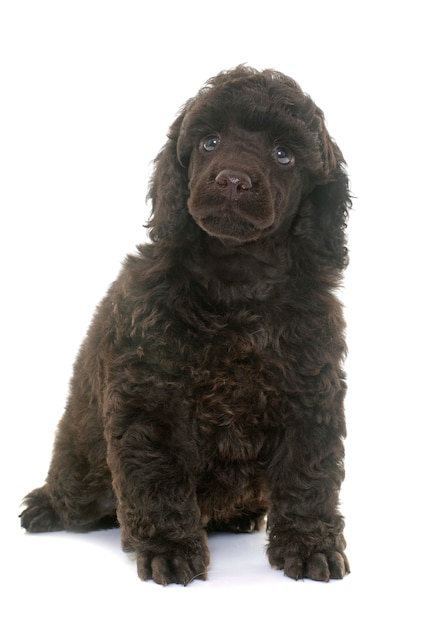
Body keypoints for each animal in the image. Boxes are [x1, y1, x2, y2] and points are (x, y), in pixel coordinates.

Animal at [20, 67, 352, 584]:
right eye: (209, 142)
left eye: (284, 154)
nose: (233, 180)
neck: (236, 281)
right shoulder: (150, 399)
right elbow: (158, 477)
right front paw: (170, 549)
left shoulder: (310, 394)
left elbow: (309, 473)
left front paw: (310, 544)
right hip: (81, 475)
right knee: (74, 494)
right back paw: (45, 506)